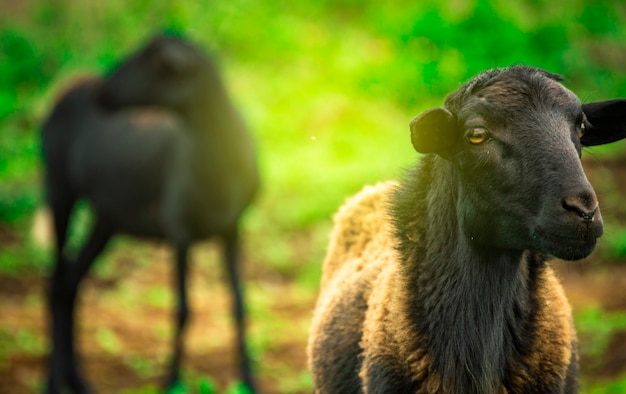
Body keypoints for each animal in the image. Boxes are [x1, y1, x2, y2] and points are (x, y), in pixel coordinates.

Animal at [42, 35, 258, 392]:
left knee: (69, 285)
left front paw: (250, 380)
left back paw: (77, 381)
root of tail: (67, 90)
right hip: (58, 190)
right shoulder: (179, 231)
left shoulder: (231, 229)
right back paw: (53, 382)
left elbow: (239, 305)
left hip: (107, 219)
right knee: (55, 282)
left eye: (153, 63)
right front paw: (171, 381)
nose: (100, 93)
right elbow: (182, 309)